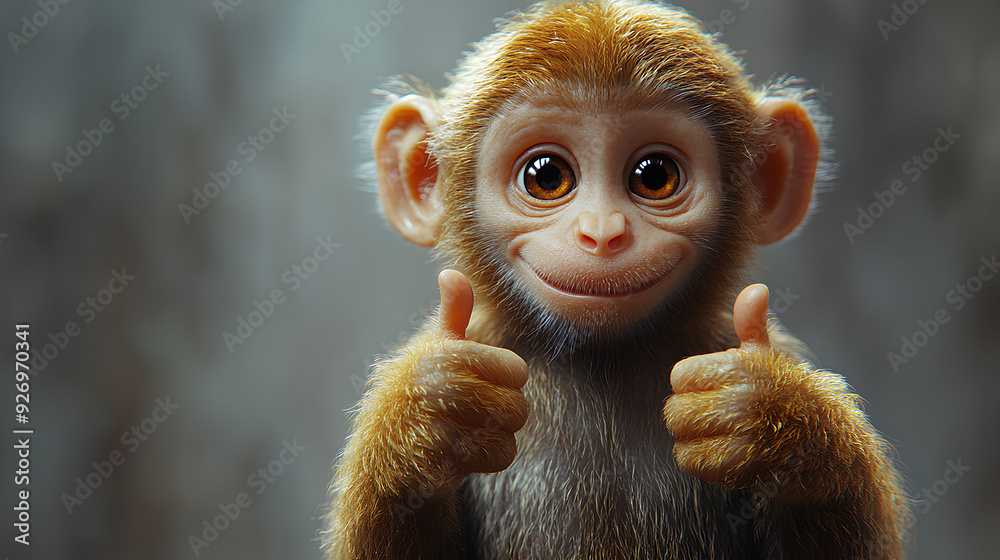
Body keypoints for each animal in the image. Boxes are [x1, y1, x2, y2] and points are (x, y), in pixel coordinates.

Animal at [322, 1, 913, 558]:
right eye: (546, 176)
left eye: (655, 176)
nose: (602, 232)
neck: (600, 362)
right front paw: (433, 408)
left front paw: (764, 409)